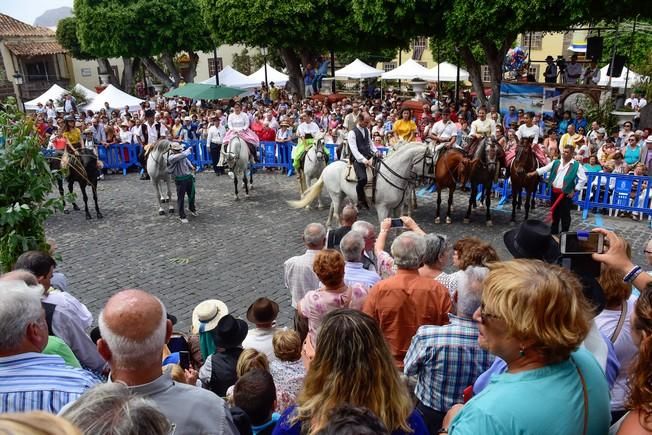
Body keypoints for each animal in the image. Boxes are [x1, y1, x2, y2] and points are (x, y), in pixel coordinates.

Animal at [290, 143, 428, 227]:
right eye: (428, 160)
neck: (391, 174)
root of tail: (327, 167)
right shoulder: (382, 208)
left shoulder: (397, 207)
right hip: (336, 195)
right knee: (336, 214)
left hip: (339, 195)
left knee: (332, 208)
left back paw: (329, 226)